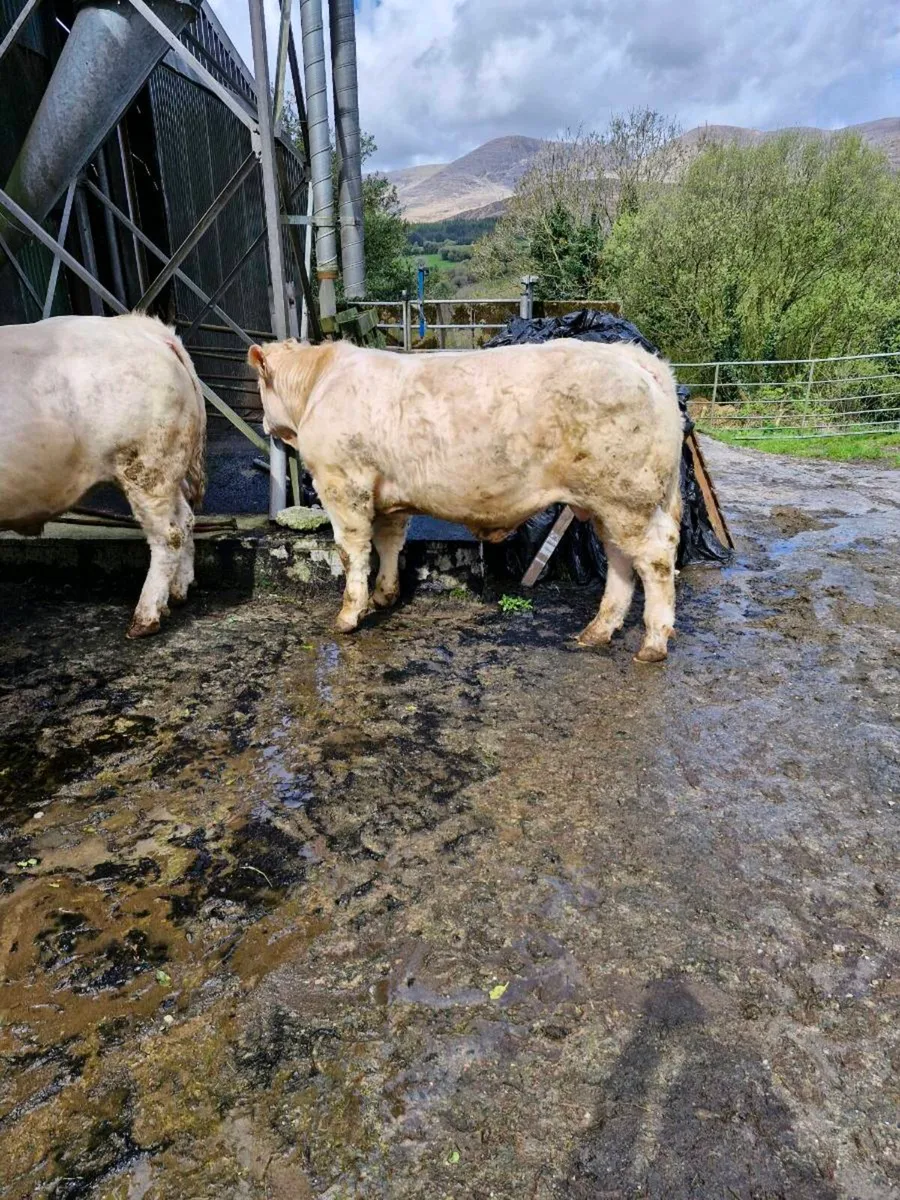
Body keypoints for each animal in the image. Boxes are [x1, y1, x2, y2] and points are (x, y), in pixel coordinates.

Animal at [0, 314, 206, 638]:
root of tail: (146, 327)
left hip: (145, 465)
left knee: (167, 535)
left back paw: (144, 620)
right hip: (168, 467)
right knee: (185, 519)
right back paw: (177, 594)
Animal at [247, 337, 683, 662]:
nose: (263, 422)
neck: (320, 384)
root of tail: (630, 355)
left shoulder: (342, 484)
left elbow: (351, 551)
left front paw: (349, 614)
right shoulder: (388, 496)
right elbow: (389, 543)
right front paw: (386, 594)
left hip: (627, 498)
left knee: (655, 558)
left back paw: (653, 642)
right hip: (608, 505)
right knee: (621, 561)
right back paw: (598, 630)